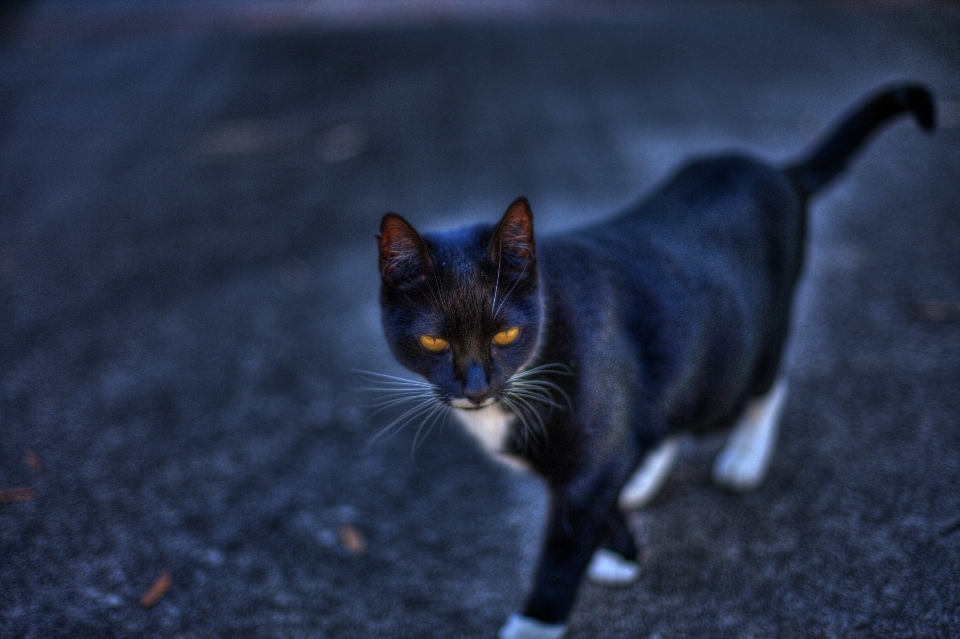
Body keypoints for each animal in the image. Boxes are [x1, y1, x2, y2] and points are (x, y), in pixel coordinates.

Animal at [374, 85, 928, 639]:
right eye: (433, 341)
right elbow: (599, 492)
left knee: (763, 381)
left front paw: (537, 621)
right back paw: (644, 471)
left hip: (758, 331)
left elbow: (566, 537)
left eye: (506, 333)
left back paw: (744, 454)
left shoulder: (591, 448)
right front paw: (621, 550)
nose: (475, 386)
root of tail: (777, 171)